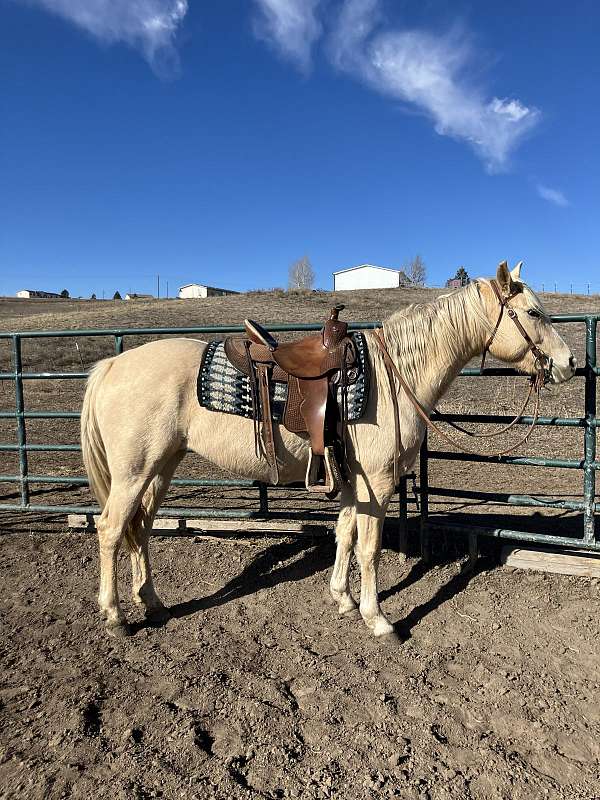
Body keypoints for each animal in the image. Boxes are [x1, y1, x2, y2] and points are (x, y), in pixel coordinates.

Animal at [81, 266, 576, 640]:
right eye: (533, 312)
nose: (569, 363)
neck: (395, 377)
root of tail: (113, 365)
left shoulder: (354, 480)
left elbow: (345, 533)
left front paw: (342, 597)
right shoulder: (378, 482)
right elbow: (370, 546)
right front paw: (378, 619)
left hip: (161, 467)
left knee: (141, 527)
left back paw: (154, 603)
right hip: (134, 472)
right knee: (111, 528)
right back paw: (115, 616)